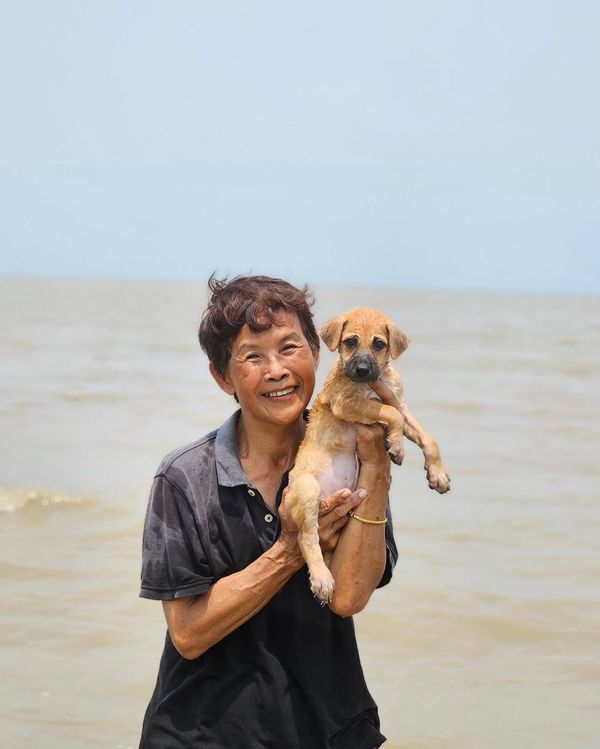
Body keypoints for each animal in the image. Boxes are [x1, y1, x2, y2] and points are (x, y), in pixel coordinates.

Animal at [286, 304, 450, 600]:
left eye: (379, 344)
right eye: (350, 342)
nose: (362, 370)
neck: (377, 378)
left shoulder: (400, 403)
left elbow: (427, 437)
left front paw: (438, 474)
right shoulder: (347, 402)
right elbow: (391, 414)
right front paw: (396, 446)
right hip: (307, 491)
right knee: (307, 538)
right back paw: (321, 578)